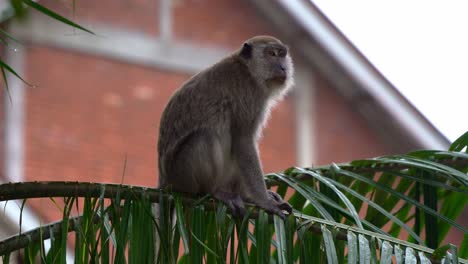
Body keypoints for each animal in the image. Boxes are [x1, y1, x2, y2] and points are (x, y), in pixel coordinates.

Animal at [159, 35, 294, 219]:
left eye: (282, 54)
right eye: (272, 54)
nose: (283, 67)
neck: (247, 69)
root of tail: (164, 181)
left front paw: (255, 197)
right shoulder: (249, 93)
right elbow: (244, 142)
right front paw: (264, 201)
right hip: (181, 174)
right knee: (205, 137)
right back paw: (212, 191)